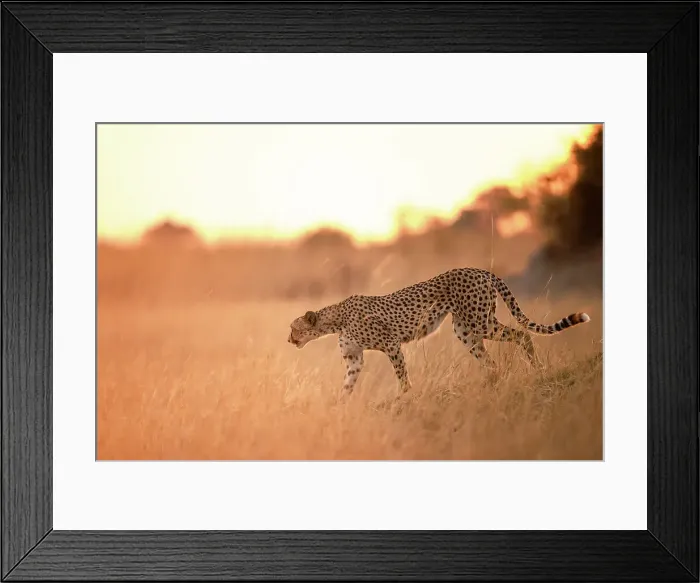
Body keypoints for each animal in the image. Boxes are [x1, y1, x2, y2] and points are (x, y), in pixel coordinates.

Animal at [287, 267, 590, 395]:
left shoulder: (391, 344)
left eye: (293, 328)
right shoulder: (355, 359)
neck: (335, 319)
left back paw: (537, 368)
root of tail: (479, 270)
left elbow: (401, 375)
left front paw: (404, 397)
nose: (288, 339)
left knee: (522, 335)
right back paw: (490, 381)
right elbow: (347, 384)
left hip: (480, 321)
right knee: (490, 361)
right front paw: (339, 406)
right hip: (465, 330)